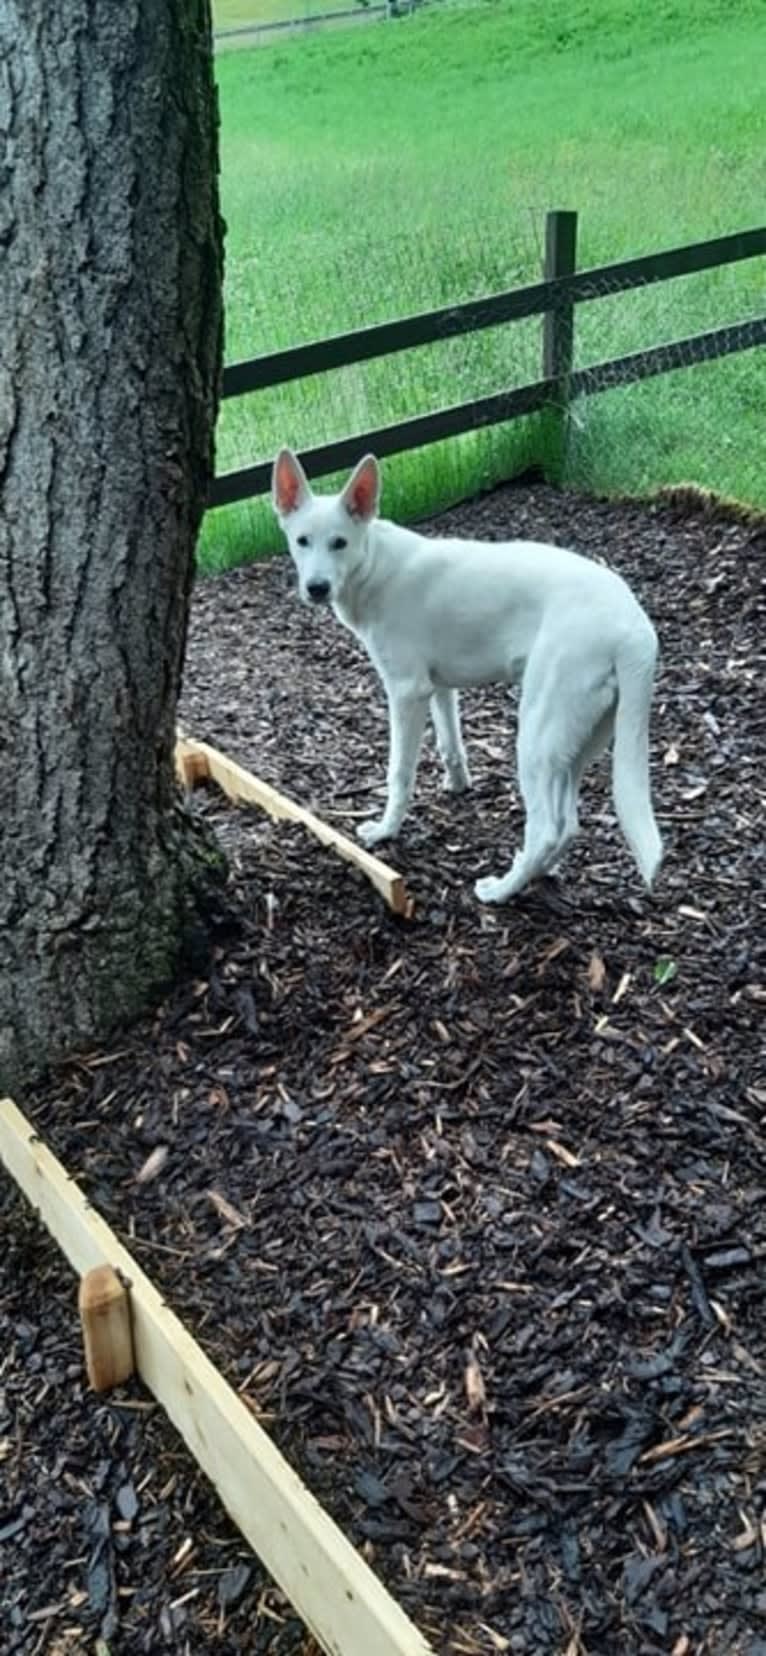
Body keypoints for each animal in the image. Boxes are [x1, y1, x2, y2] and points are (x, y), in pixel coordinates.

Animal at [272, 447, 661, 900]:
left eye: (340, 543)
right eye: (302, 541)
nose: (316, 588)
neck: (374, 565)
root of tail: (634, 626)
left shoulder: (407, 692)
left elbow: (399, 773)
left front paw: (386, 831)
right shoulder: (440, 688)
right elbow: (450, 744)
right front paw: (457, 785)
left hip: (538, 734)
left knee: (547, 827)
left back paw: (501, 891)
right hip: (574, 745)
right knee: (568, 825)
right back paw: (540, 872)